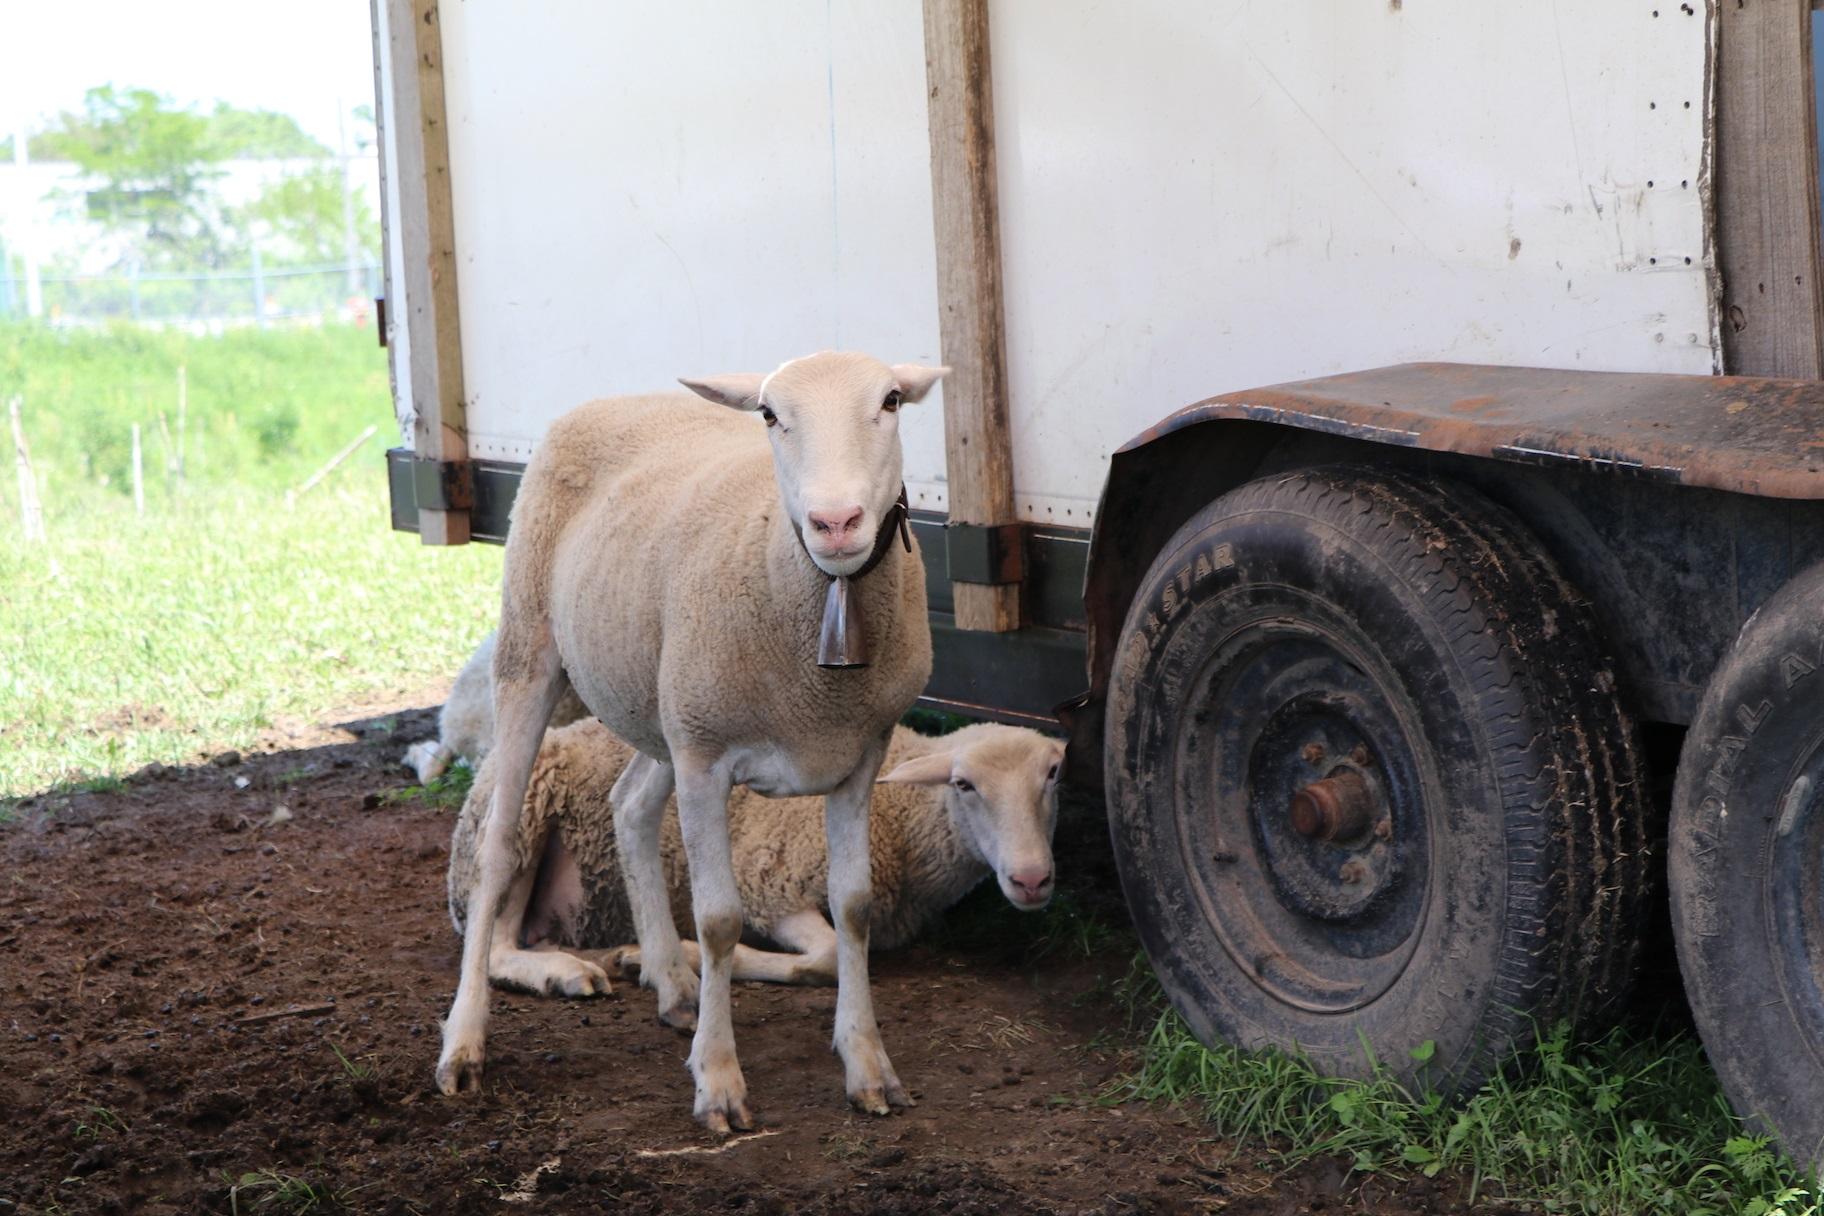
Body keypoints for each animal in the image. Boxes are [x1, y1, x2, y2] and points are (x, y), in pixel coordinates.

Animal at [439, 353, 948, 1144]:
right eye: (769, 414)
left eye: (892, 400)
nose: (835, 522)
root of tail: (610, 400)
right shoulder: (707, 762)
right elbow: (716, 921)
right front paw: (719, 1082)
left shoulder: (859, 756)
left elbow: (854, 906)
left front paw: (868, 1066)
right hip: (533, 650)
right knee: (496, 848)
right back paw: (465, 1042)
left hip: (664, 708)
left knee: (628, 806)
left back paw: (673, 986)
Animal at [445, 718, 1065, 991]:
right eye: (963, 785)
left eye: (1053, 776)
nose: (1033, 879)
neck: (899, 820)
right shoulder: (773, 884)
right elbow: (826, 959)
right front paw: (695, 957)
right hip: (525, 813)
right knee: (493, 949)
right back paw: (566, 973)